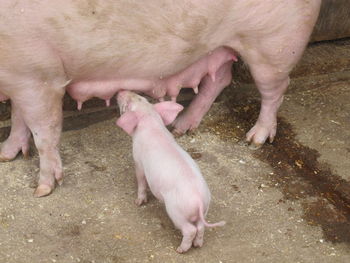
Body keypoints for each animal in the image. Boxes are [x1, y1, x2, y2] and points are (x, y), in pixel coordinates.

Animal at [0, 0, 322, 196]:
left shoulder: (40, 75)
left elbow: (45, 132)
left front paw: (43, 189)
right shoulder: (19, 78)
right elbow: (19, 117)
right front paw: (7, 154)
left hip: (275, 46)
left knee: (275, 89)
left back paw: (255, 139)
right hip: (223, 48)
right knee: (220, 79)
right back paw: (180, 127)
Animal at [115, 91, 224, 254]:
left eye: (127, 105)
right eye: (142, 98)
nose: (120, 92)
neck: (150, 118)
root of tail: (199, 200)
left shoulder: (138, 161)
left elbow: (141, 181)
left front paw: (138, 202)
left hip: (176, 211)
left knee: (190, 229)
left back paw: (180, 250)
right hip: (204, 211)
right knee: (200, 227)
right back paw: (197, 245)